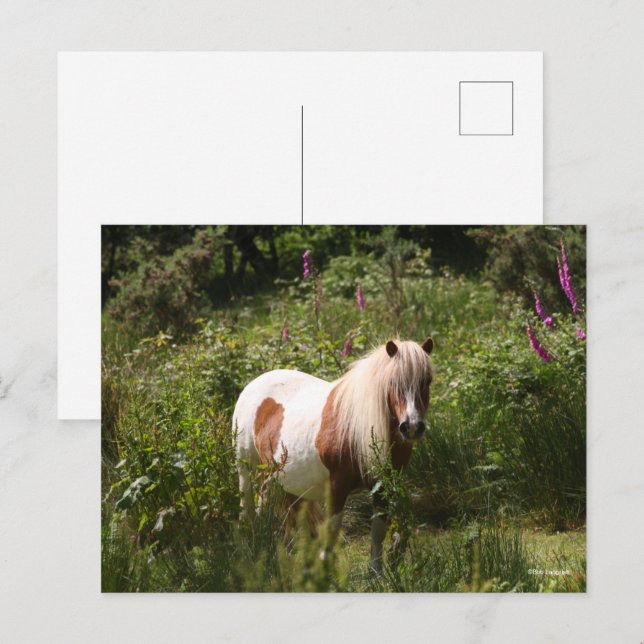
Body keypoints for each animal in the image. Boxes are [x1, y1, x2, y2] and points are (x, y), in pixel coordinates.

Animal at [232, 336, 434, 571]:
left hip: (278, 478)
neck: (358, 426)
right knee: (248, 509)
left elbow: (378, 530)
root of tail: (253, 384)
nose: (411, 427)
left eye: (427, 381)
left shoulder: (382, 486)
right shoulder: (338, 485)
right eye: (393, 382)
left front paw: (377, 573)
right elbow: (332, 530)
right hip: (246, 469)